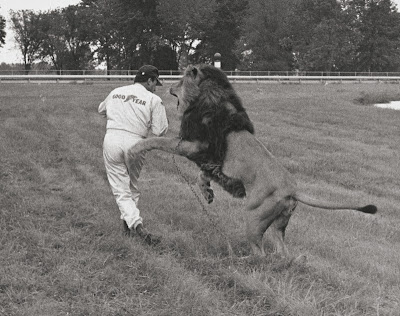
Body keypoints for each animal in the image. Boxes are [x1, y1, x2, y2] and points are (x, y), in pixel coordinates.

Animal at [129, 64, 378, 260]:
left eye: (181, 79)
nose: (169, 86)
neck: (205, 99)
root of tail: (293, 190)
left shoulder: (194, 146)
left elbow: (159, 140)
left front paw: (134, 148)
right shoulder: (208, 160)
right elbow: (201, 175)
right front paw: (207, 193)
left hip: (253, 215)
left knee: (260, 254)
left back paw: (237, 260)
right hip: (278, 223)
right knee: (282, 253)